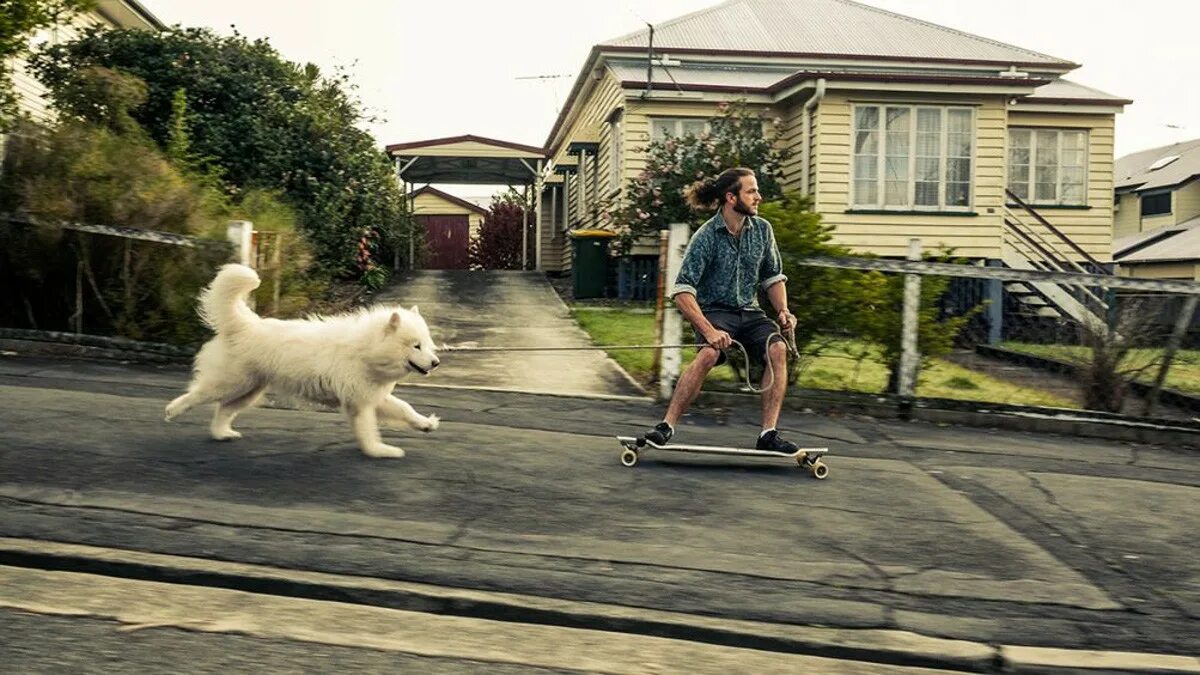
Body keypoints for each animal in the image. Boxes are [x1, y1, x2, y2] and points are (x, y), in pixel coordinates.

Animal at [162, 263, 439, 456]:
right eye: (416, 345)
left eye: (427, 343)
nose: (436, 362)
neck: (366, 349)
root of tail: (246, 324)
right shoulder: (359, 403)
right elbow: (368, 430)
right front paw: (379, 451)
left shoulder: (371, 396)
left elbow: (405, 408)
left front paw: (425, 424)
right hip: (230, 383)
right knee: (198, 395)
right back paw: (173, 411)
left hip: (248, 390)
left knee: (223, 410)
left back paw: (222, 434)